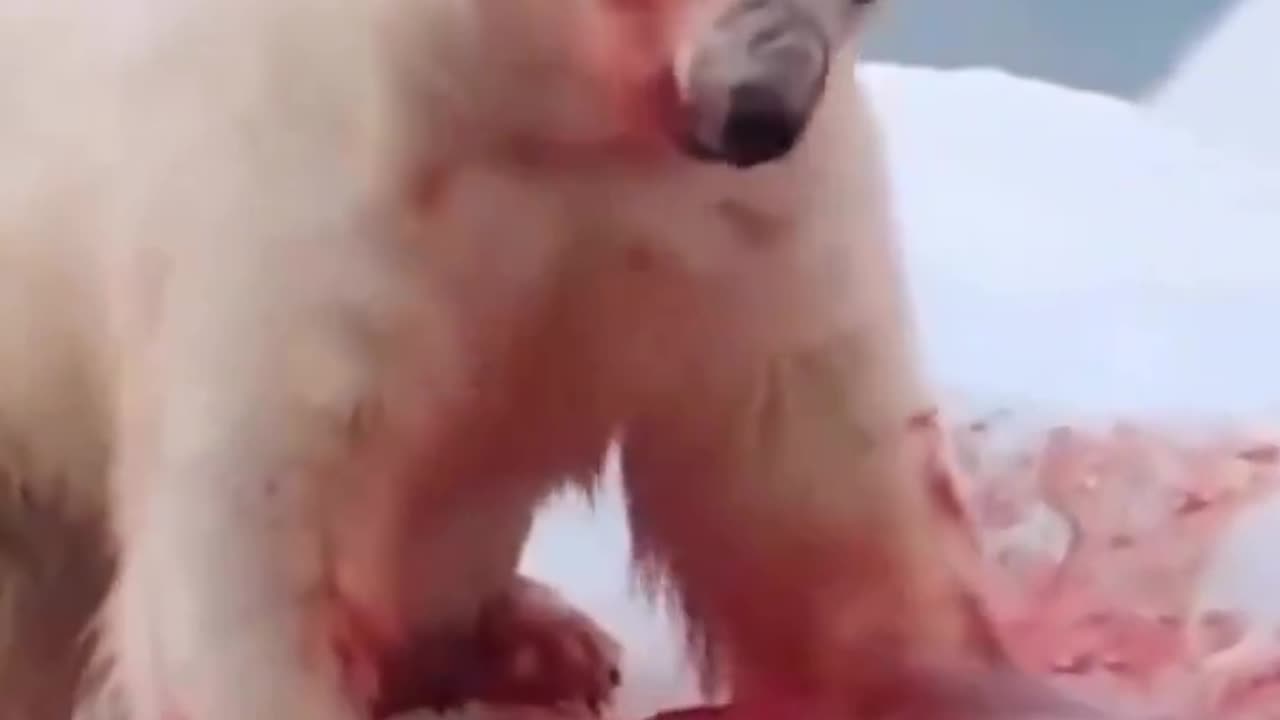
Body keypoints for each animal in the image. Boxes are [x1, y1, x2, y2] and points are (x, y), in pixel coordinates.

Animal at [0, 0, 1100, 712]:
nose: (760, 107)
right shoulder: (312, 196)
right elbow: (259, 523)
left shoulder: (737, 222)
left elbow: (809, 478)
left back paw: (535, 644)